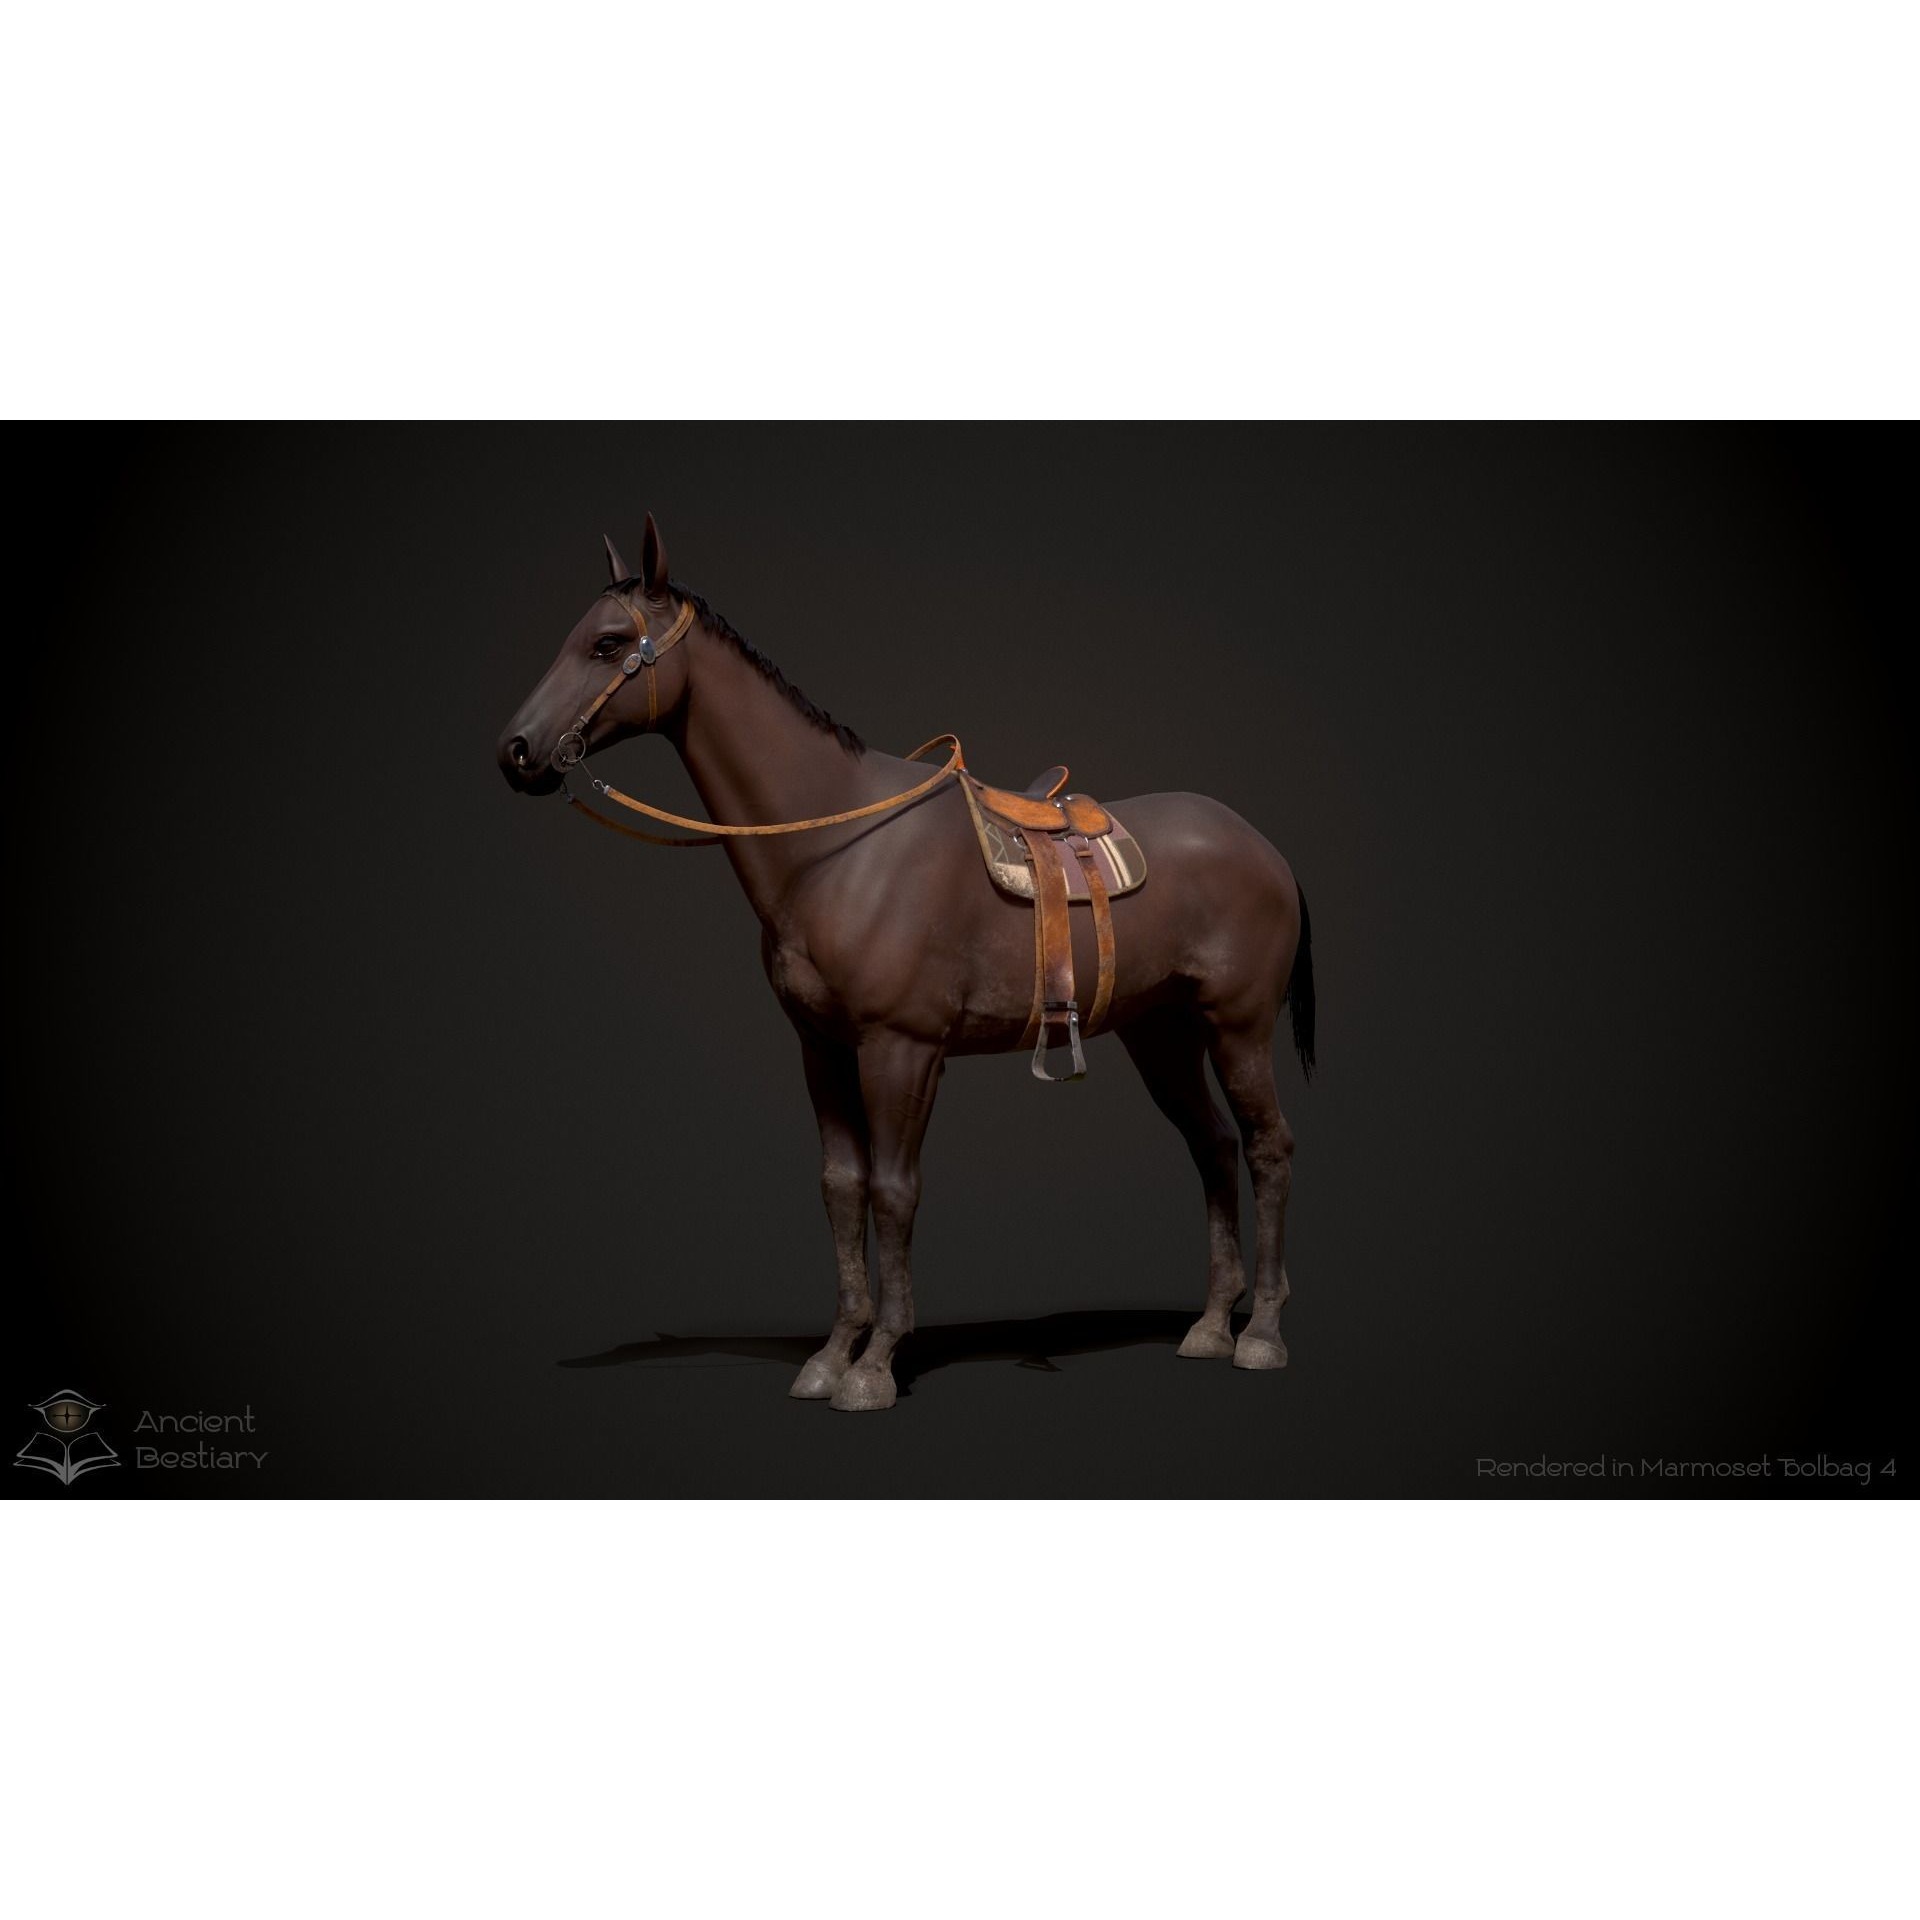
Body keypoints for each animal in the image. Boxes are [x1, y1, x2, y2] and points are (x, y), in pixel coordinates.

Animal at [497, 515, 1315, 1412]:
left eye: (609, 643)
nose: (517, 751)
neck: (839, 846)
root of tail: (1265, 847)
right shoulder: (821, 1048)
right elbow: (841, 1185)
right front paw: (832, 1353)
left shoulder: (902, 1050)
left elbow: (893, 1191)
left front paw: (877, 1363)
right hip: (1160, 1035)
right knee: (1212, 1145)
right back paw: (1209, 1325)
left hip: (1237, 1030)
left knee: (1268, 1146)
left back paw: (1262, 1333)